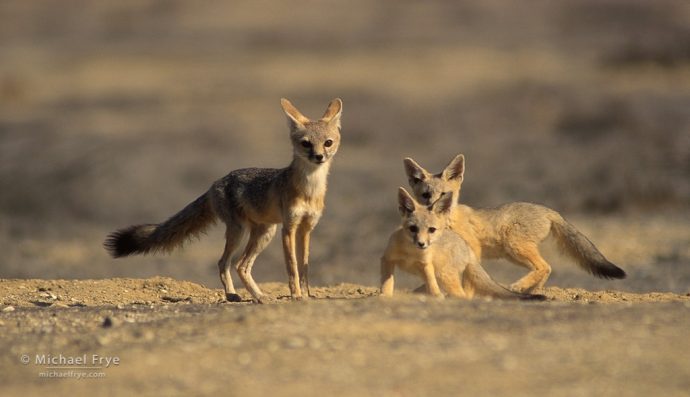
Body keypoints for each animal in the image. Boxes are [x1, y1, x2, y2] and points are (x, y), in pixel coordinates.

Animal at [104, 98, 342, 304]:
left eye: (328, 143)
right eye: (306, 144)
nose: (319, 157)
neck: (310, 190)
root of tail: (215, 183)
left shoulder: (306, 229)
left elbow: (304, 267)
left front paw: (307, 294)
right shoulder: (289, 228)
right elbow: (292, 266)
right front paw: (296, 295)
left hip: (264, 232)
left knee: (241, 265)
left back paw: (252, 295)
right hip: (242, 231)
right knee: (229, 263)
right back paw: (244, 295)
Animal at [376, 187, 544, 298]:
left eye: (431, 230)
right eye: (413, 229)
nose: (421, 244)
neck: (410, 253)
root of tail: (465, 245)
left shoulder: (426, 265)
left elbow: (432, 285)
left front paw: (437, 297)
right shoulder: (387, 259)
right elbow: (387, 282)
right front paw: (385, 295)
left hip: (445, 276)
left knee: (461, 294)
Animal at [404, 153, 624, 292]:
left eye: (443, 194)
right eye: (425, 195)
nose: (432, 206)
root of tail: (549, 210)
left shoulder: (473, 249)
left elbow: (468, 275)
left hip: (515, 247)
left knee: (545, 266)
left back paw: (519, 286)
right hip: (514, 254)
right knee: (546, 268)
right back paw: (533, 290)